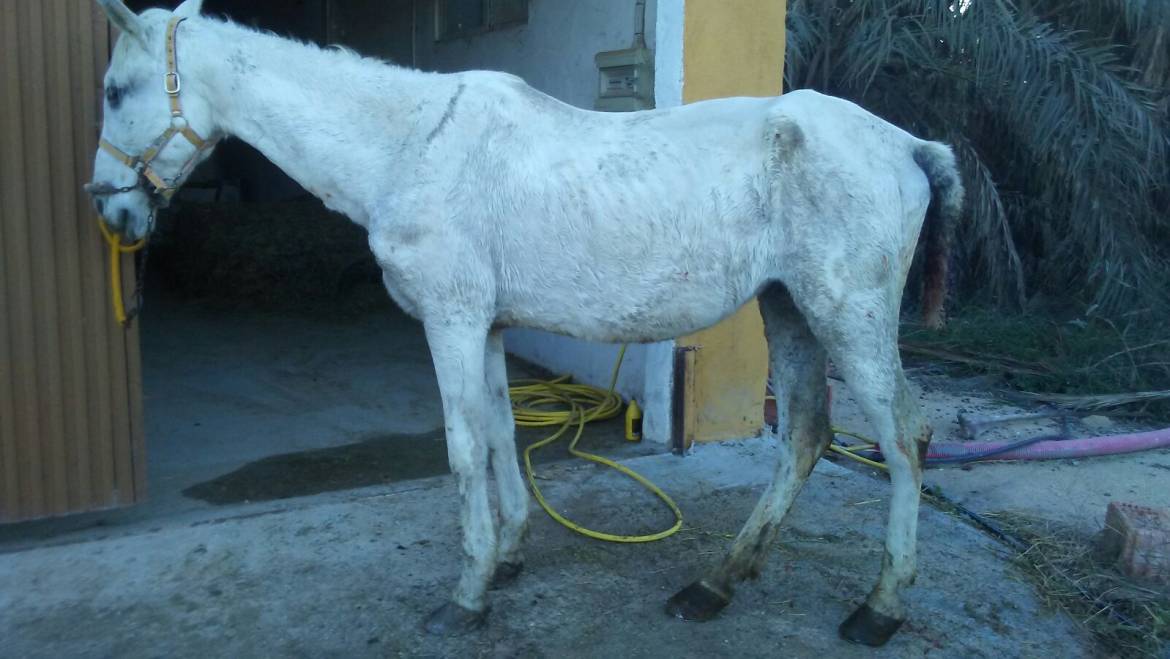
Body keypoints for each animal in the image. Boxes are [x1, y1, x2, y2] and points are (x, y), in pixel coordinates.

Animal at [91, 0, 964, 646]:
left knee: (904, 436)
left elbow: (461, 445)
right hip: (790, 308)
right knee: (808, 434)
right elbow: (501, 430)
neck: (410, 144)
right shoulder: (485, 326)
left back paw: (879, 608)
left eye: (114, 91)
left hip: (846, 315)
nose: (110, 210)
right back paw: (713, 585)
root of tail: (909, 146)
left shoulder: (450, 321)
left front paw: (467, 593)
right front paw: (508, 555)